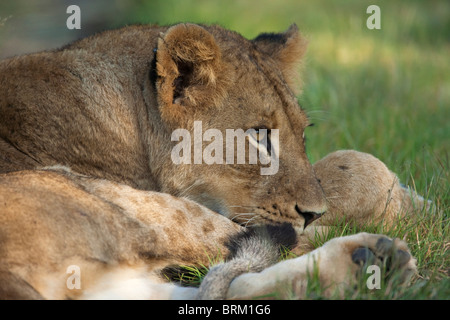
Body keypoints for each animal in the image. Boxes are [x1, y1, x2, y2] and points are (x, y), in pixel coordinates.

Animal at [0, 23, 428, 300]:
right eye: (259, 137)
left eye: (302, 133)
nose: (313, 212)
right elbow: (350, 169)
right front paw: (414, 208)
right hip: (110, 204)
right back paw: (374, 258)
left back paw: (374, 266)